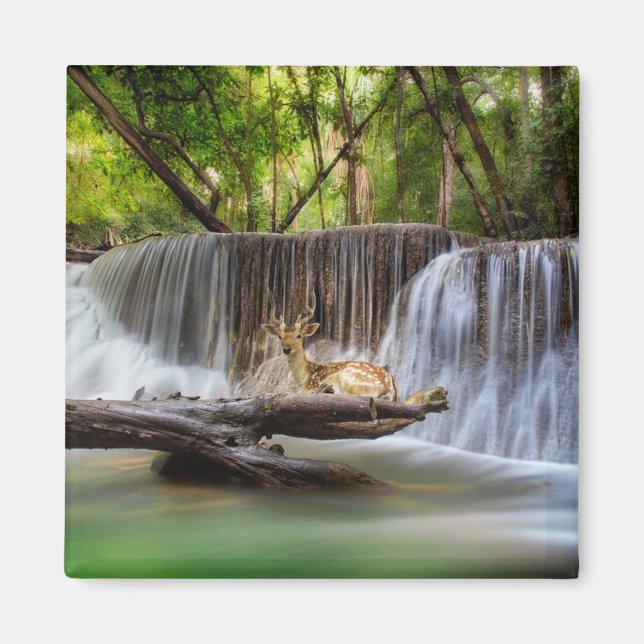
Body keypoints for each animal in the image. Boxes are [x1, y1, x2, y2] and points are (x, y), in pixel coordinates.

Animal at [261, 290, 399, 401]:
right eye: (280, 336)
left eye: (299, 335)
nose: (287, 349)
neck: (305, 378)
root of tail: (389, 388)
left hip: (349, 378)